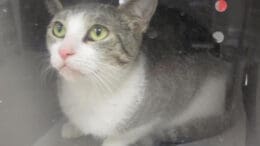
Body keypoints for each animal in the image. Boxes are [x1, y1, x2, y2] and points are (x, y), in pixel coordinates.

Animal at [44, 0, 242, 146]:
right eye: (58, 29)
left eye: (98, 32)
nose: (64, 51)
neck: (90, 92)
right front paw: (73, 126)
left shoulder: (165, 99)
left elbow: (133, 131)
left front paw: (112, 141)